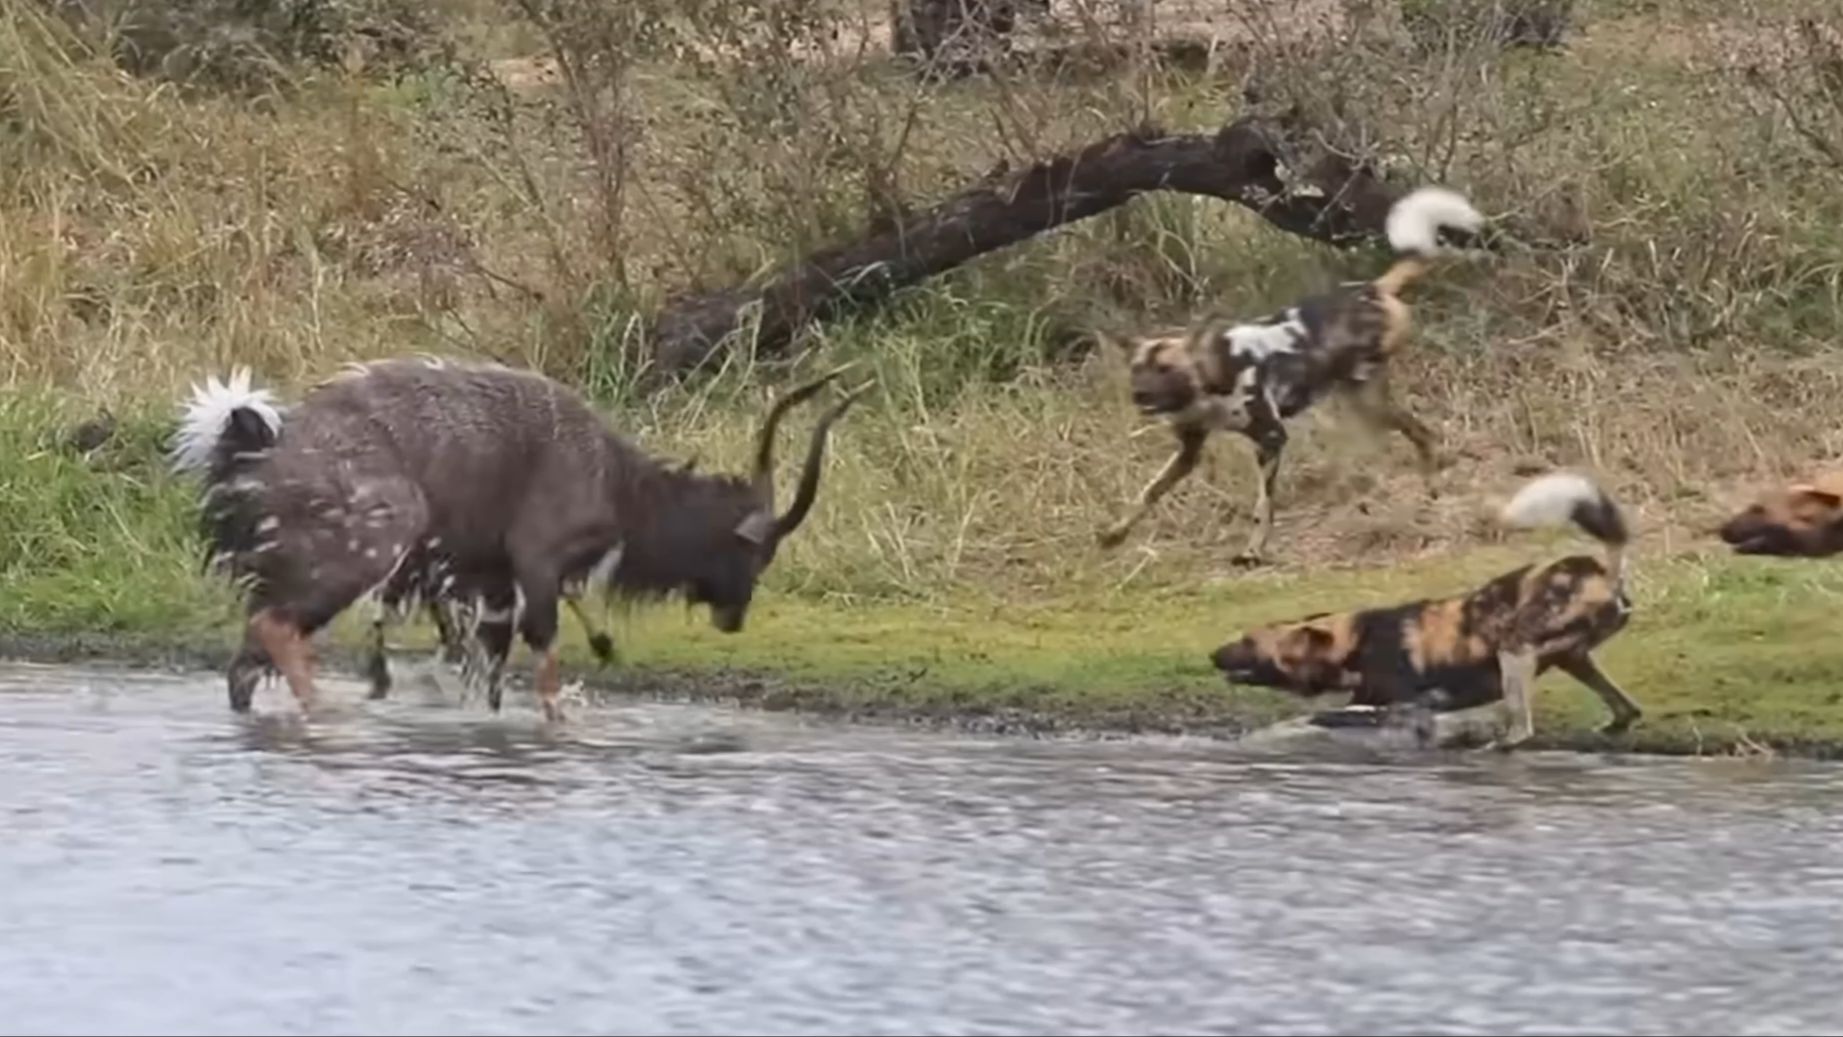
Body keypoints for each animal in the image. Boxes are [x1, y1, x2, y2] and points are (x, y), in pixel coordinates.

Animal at [173, 357, 869, 722]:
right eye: (752, 551)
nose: (734, 618)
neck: (621, 486)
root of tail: (250, 448)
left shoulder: (491, 583)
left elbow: (491, 676)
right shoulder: (537, 564)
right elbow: (548, 668)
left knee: (245, 660)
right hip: (370, 543)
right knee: (274, 631)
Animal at [1098, 182, 1489, 563]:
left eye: (1166, 369)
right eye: (1137, 370)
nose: (1140, 395)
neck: (1208, 383)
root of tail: (1372, 290)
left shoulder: (1271, 439)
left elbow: (1263, 507)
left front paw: (1254, 551)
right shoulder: (1188, 450)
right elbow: (1148, 493)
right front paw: (1115, 534)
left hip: (1367, 401)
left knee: (1408, 433)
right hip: (1366, 402)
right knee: (1416, 431)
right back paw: (1424, 487)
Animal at [1209, 471, 1643, 755]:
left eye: (1248, 641)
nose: (1213, 654)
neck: (1354, 643)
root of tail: (1603, 570)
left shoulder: (1391, 707)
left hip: (1514, 650)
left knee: (1522, 730)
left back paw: (1494, 747)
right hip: (1573, 659)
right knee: (1627, 710)